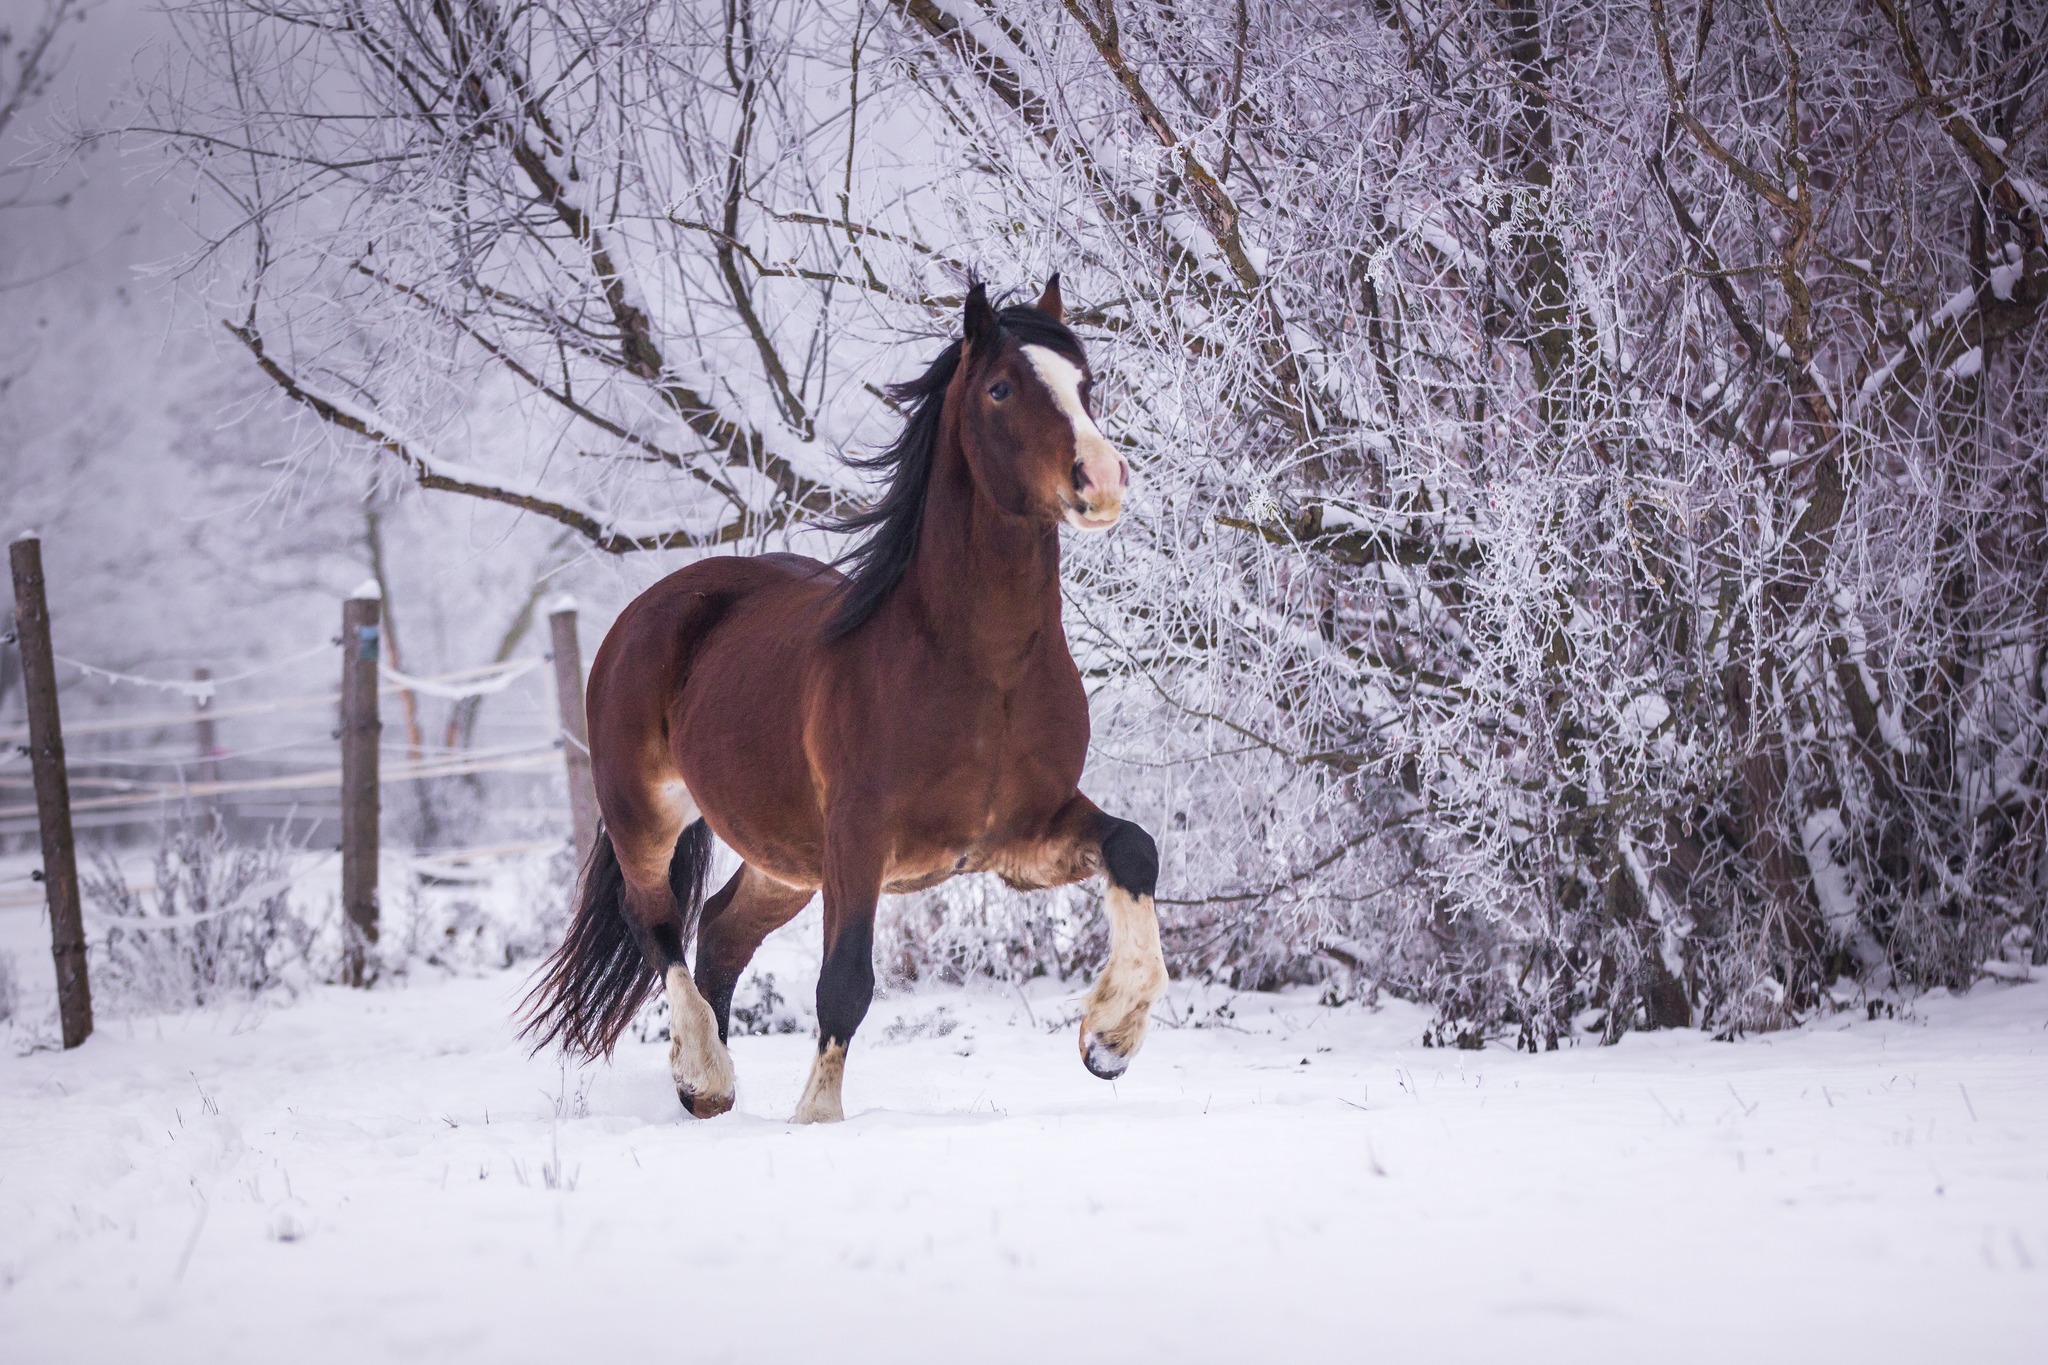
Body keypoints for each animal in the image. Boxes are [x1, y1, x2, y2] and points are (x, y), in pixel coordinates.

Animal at [524, 274, 1171, 1121]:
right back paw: (704, 1071)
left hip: (787, 859)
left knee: (720, 932)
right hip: (648, 812)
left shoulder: (1020, 836)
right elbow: (845, 983)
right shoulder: (861, 836)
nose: (1101, 478)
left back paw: (707, 1094)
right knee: (655, 920)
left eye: (1085, 385)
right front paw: (818, 1118)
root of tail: (648, 610)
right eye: (1000, 388)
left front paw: (1111, 1038)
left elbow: (1136, 847)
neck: (980, 668)